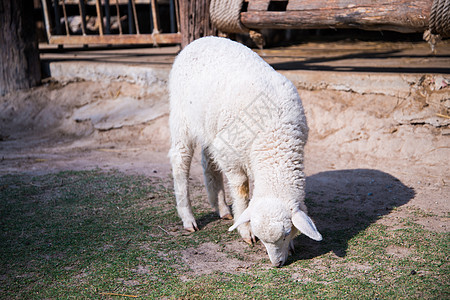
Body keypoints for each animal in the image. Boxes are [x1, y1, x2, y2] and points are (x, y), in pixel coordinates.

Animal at [168, 36, 320, 266]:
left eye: (286, 234)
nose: (277, 264)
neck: (273, 140)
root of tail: (200, 40)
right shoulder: (231, 157)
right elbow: (241, 188)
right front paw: (246, 231)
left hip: (211, 128)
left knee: (207, 161)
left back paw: (221, 208)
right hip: (181, 117)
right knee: (180, 160)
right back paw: (188, 218)